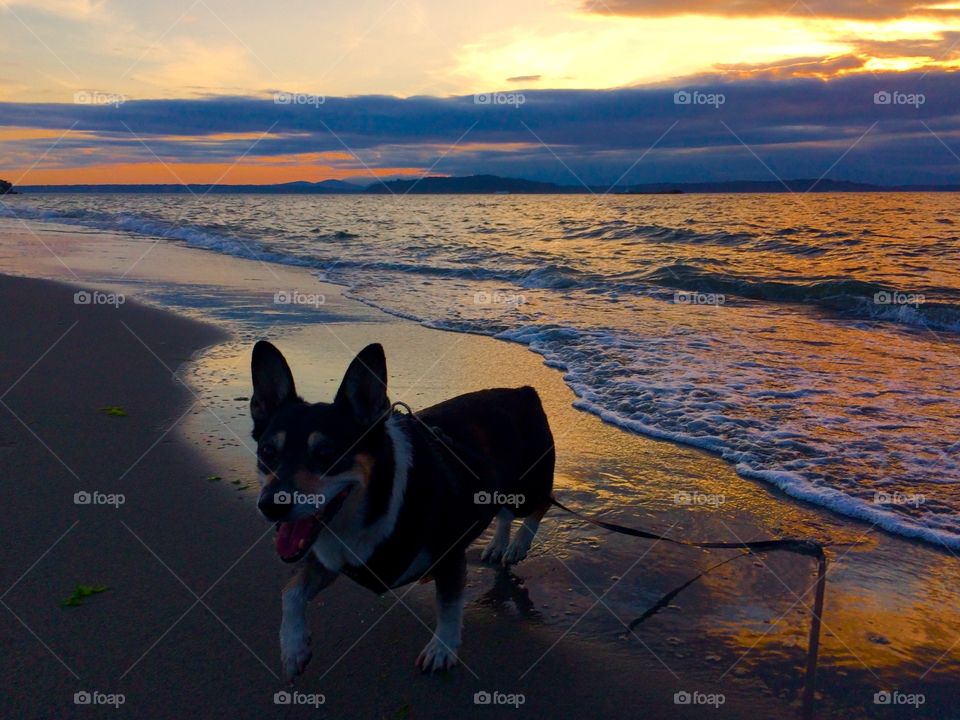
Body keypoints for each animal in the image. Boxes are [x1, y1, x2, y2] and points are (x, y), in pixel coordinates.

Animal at [249, 340, 556, 676]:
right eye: (267, 451)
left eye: (327, 453)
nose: (270, 506)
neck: (372, 503)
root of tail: (523, 391)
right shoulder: (330, 560)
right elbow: (291, 591)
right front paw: (293, 649)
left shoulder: (449, 555)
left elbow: (449, 606)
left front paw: (442, 648)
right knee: (503, 511)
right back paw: (499, 545)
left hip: (528, 484)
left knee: (539, 504)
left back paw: (518, 545)